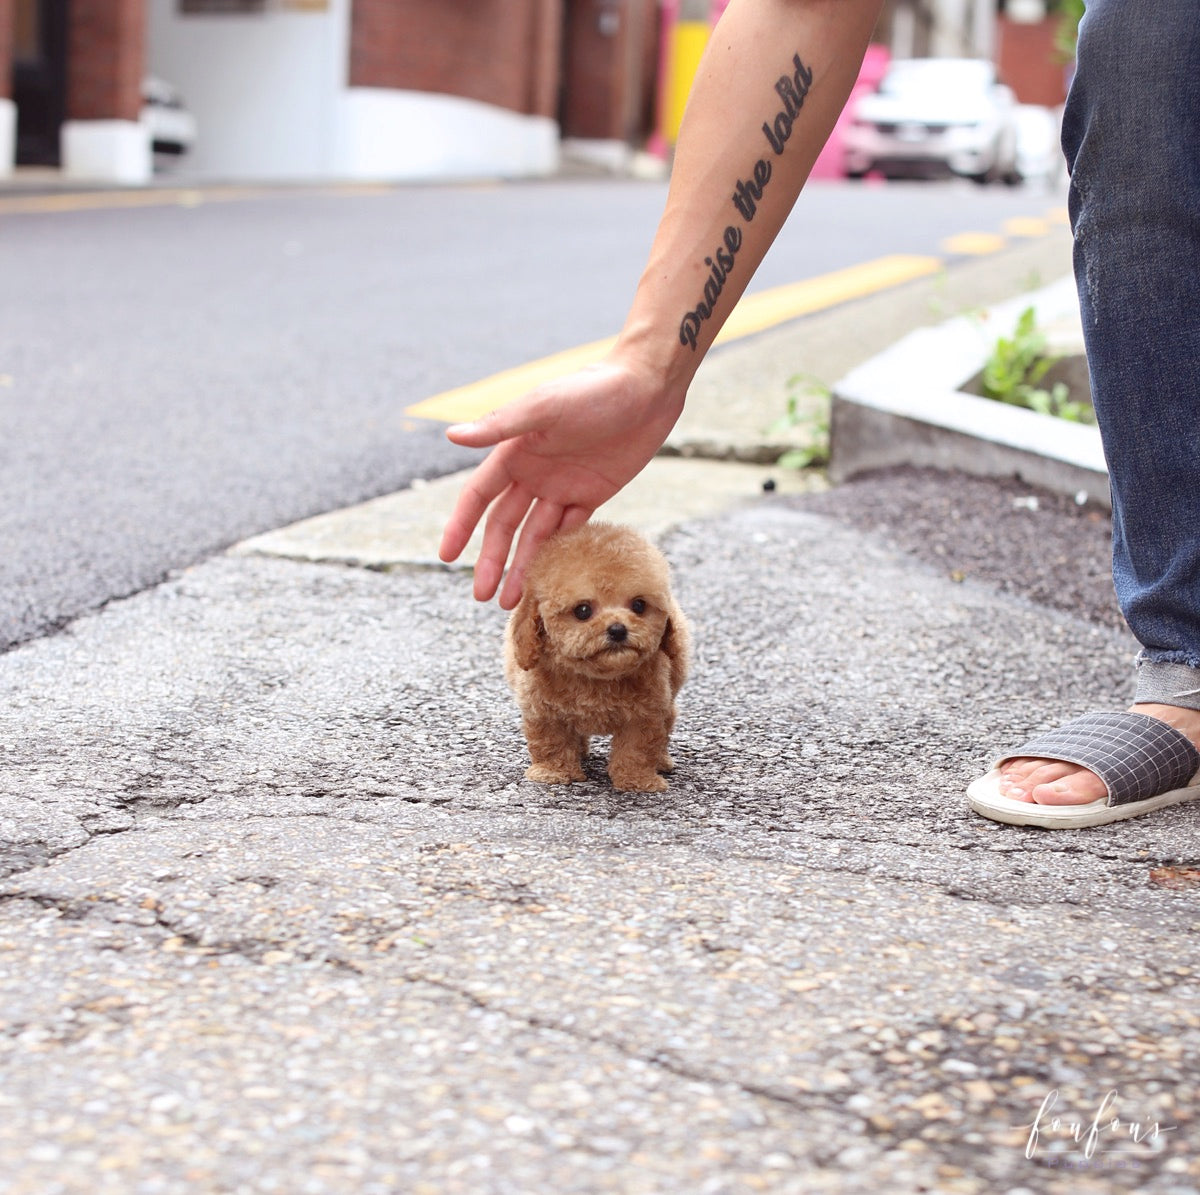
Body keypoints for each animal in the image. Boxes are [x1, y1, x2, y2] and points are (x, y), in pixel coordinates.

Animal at [506, 525, 696, 791]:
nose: (617, 630)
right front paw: (553, 772)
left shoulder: (645, 713)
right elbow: (550, 740)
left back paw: (661, 761)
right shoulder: (543, 709)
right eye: (583, 610)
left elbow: (637, 748)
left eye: (639, 605)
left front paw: (637, 780)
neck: (597, 678)